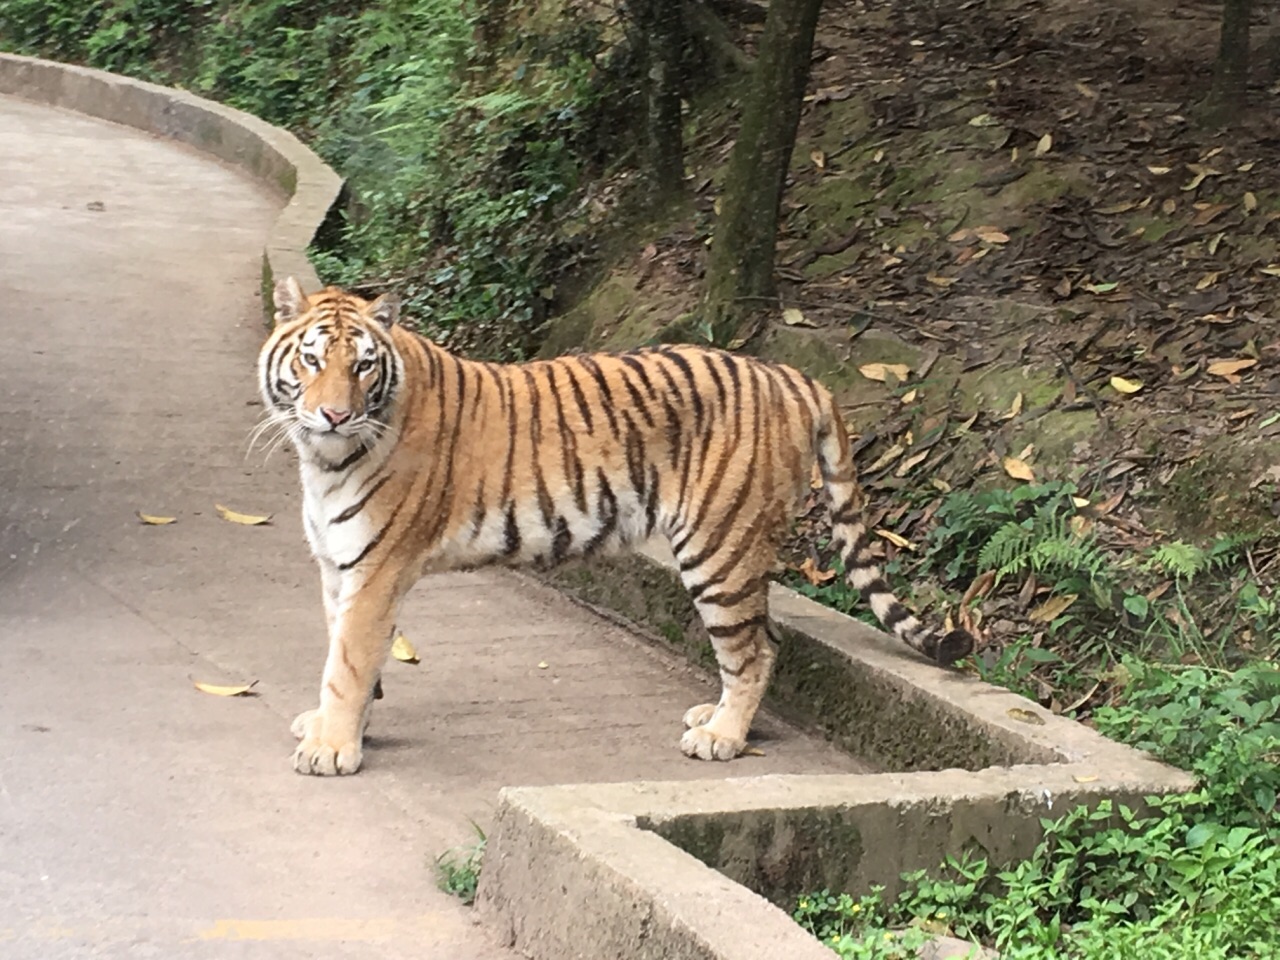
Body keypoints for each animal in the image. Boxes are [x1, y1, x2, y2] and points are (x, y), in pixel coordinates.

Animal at [259, 277, 972, 773]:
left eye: (362, 365)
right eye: (312, 361)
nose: (334, 415)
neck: (323, 460)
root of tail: (793, 375)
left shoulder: (377, 569)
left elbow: (348, 661)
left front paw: (331, 750)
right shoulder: (338, 565)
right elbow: (347, 654)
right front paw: (334, 727)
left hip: (718, 548)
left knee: (755, 649)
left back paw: (721, 737)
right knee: (762, 638)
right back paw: (718, 717)